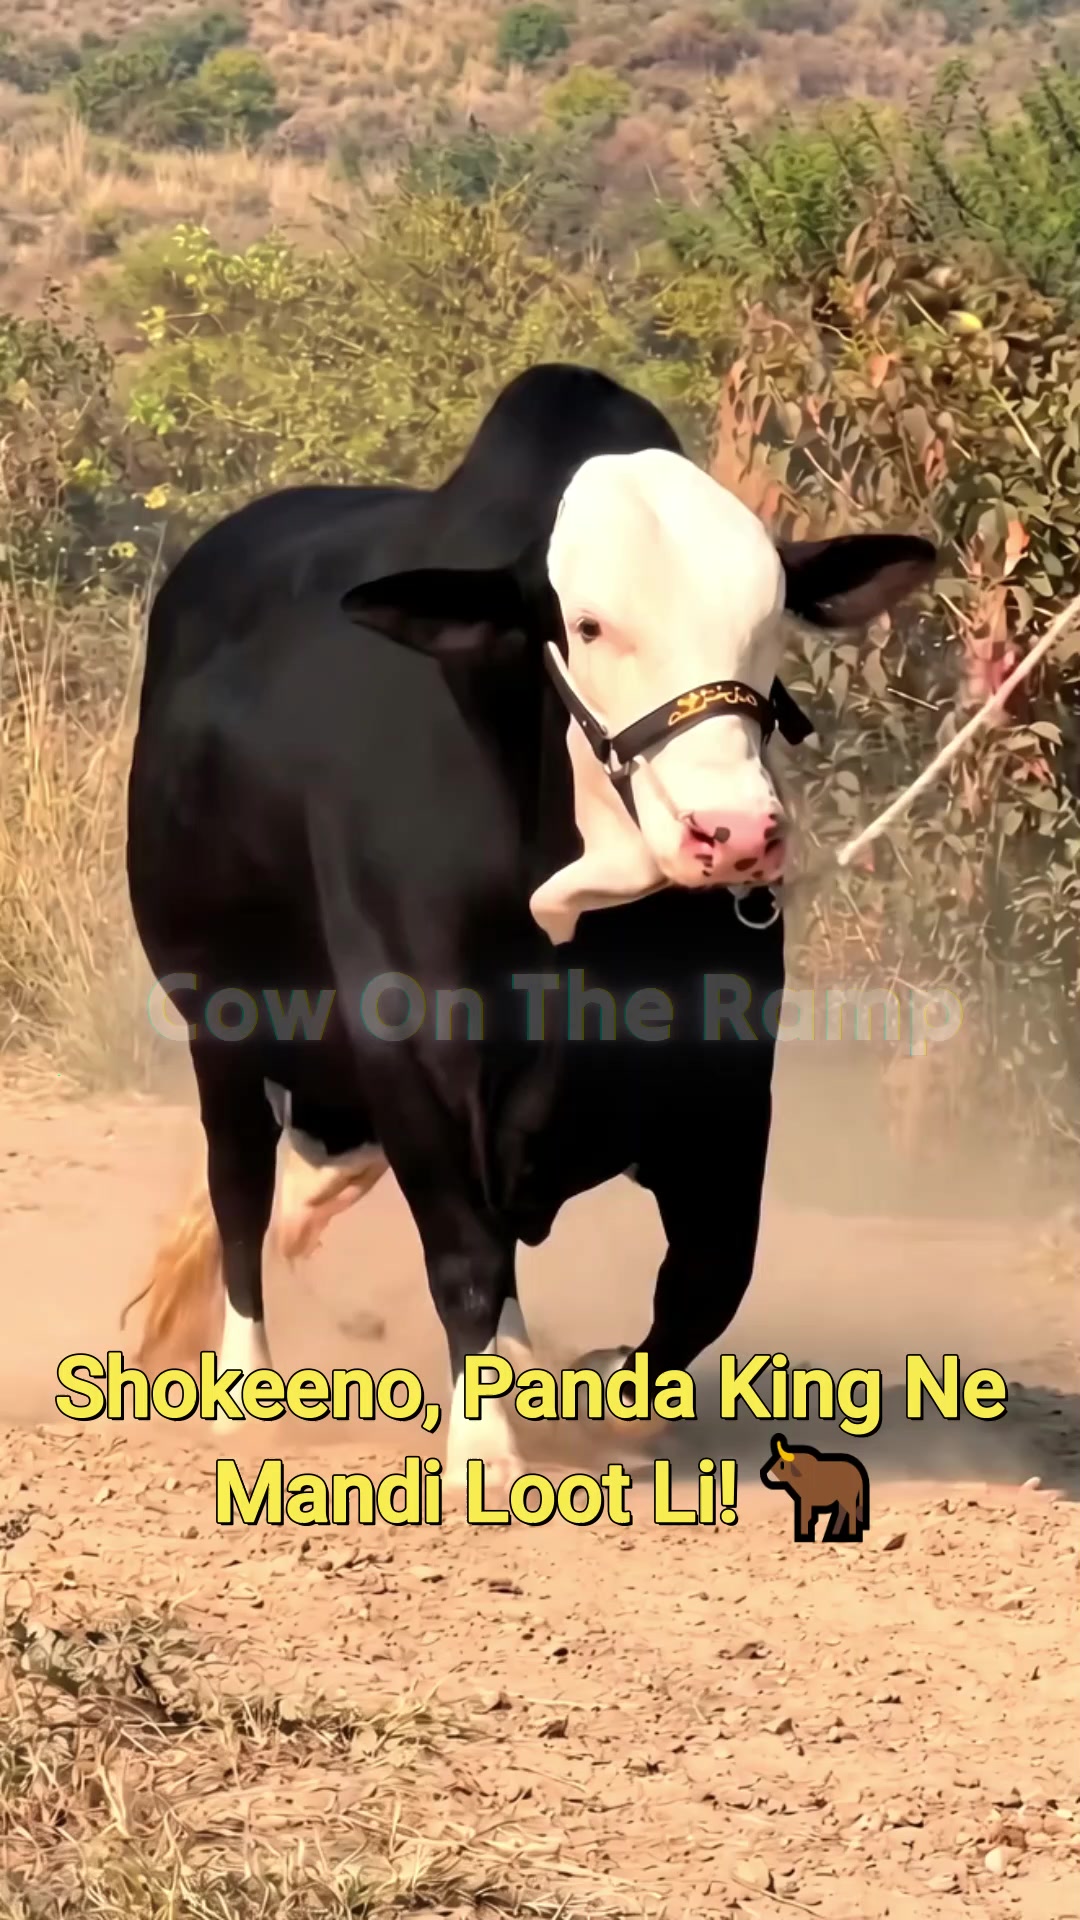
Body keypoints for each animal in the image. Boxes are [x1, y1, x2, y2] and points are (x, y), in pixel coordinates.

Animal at [123, 362, 935, 1492]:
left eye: (773, 620)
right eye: (587, 625)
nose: (734, 831)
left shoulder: (725, 1078)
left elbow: (710, 1275)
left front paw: (595, 1393)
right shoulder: (417, 1051)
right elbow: (464, 1256)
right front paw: (485, 1446)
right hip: (219, 1021)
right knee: (242, 1189)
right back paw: (247, 1391)